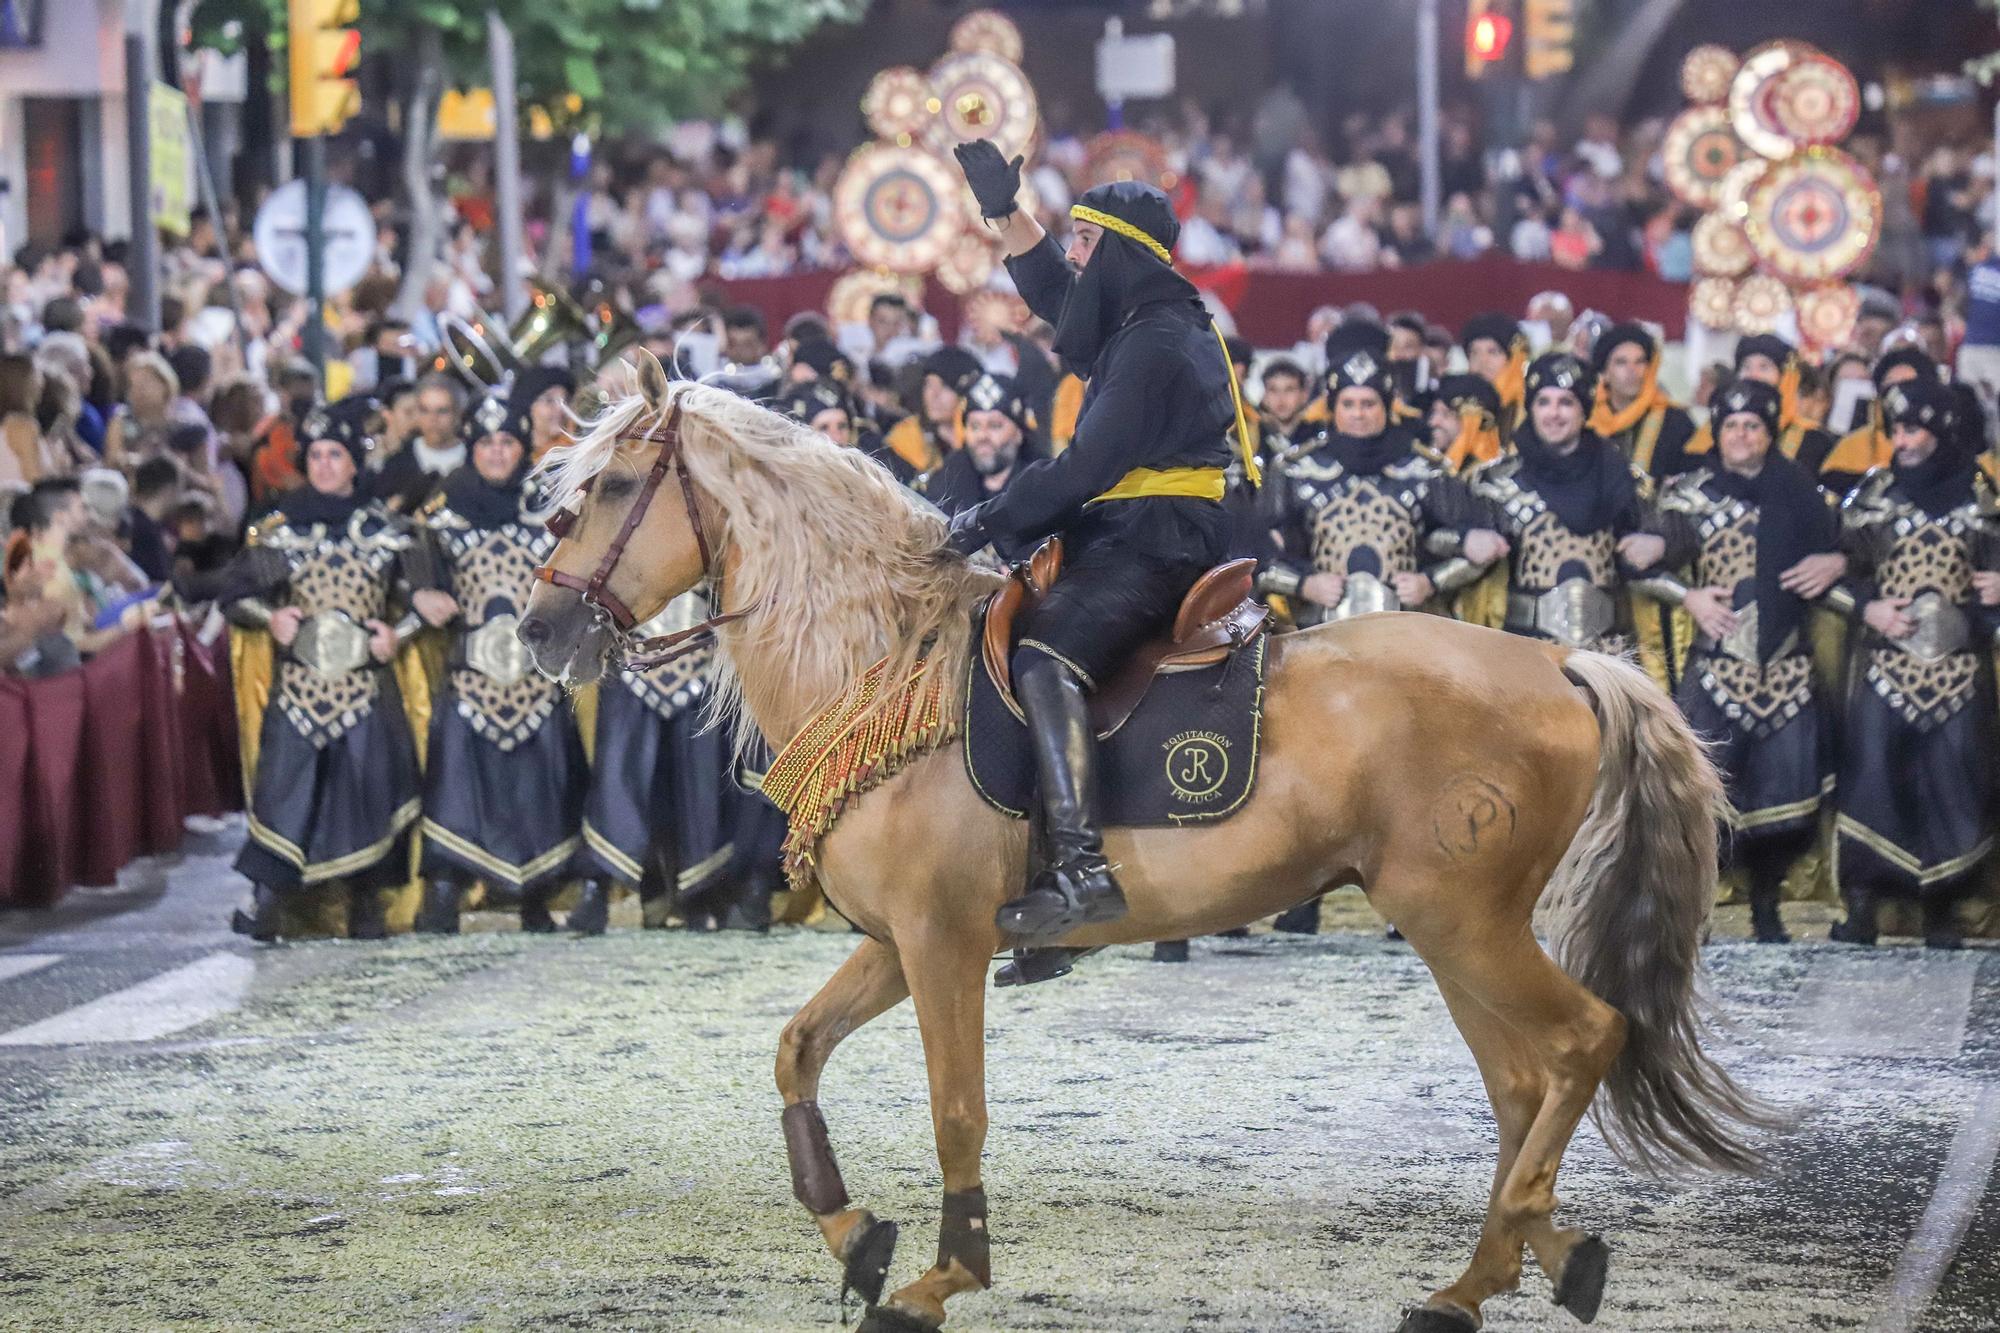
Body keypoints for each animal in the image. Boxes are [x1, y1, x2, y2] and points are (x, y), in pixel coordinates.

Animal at [524, 356, 1776, 1328]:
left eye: (617, 486)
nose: (540, 630)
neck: (888, 659)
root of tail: (1561, 660)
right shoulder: (893, 942)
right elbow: (795, 1051)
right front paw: (856, 1235)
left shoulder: (943, 939)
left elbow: (956, 1110)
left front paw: (938, 1277)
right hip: (1449, 924)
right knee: (1522, 1081)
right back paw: (1492, 1272)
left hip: (1459, 919)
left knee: (1582, 1041)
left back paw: (1517, 1247)